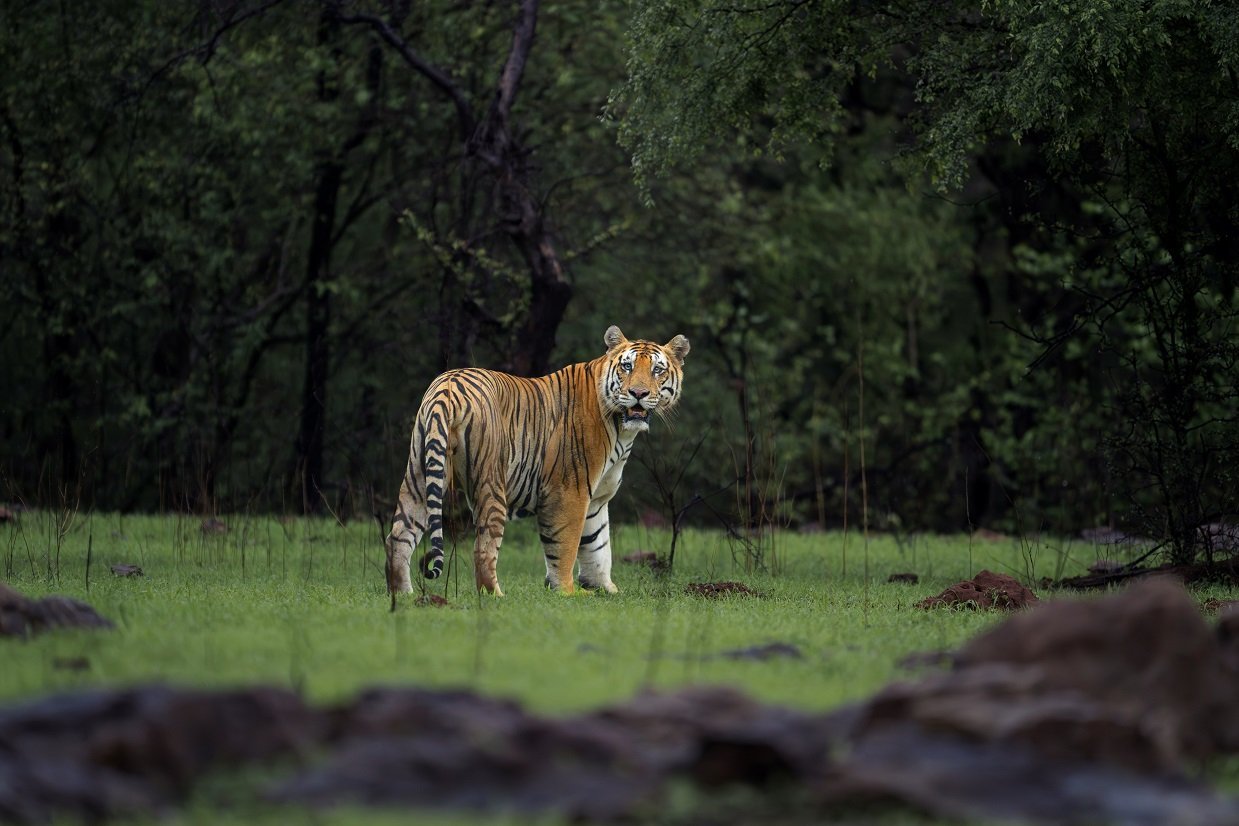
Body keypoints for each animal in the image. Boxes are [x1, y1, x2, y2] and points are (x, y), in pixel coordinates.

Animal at [385, 325, 689, 599]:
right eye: (627, 367)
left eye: (657, 370)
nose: (638, 393)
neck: (623, 430)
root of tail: (447, 385)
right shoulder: (570, 491)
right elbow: (566, 546)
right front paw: (567, 592)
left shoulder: (597, 498)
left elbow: (598, 546)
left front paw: (605, 589)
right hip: (490, 481)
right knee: (482, 547)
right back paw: (496, 597)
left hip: (419, 475)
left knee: (398, 536)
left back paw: (403, 595)